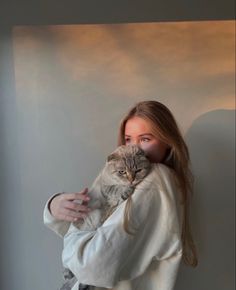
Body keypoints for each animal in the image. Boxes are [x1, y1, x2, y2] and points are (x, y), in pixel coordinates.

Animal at [59, 144, 151, 290]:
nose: (131, 180)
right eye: (122, 172)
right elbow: (116, 189)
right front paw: (125, 190)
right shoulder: (105, 187)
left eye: (138, 170)